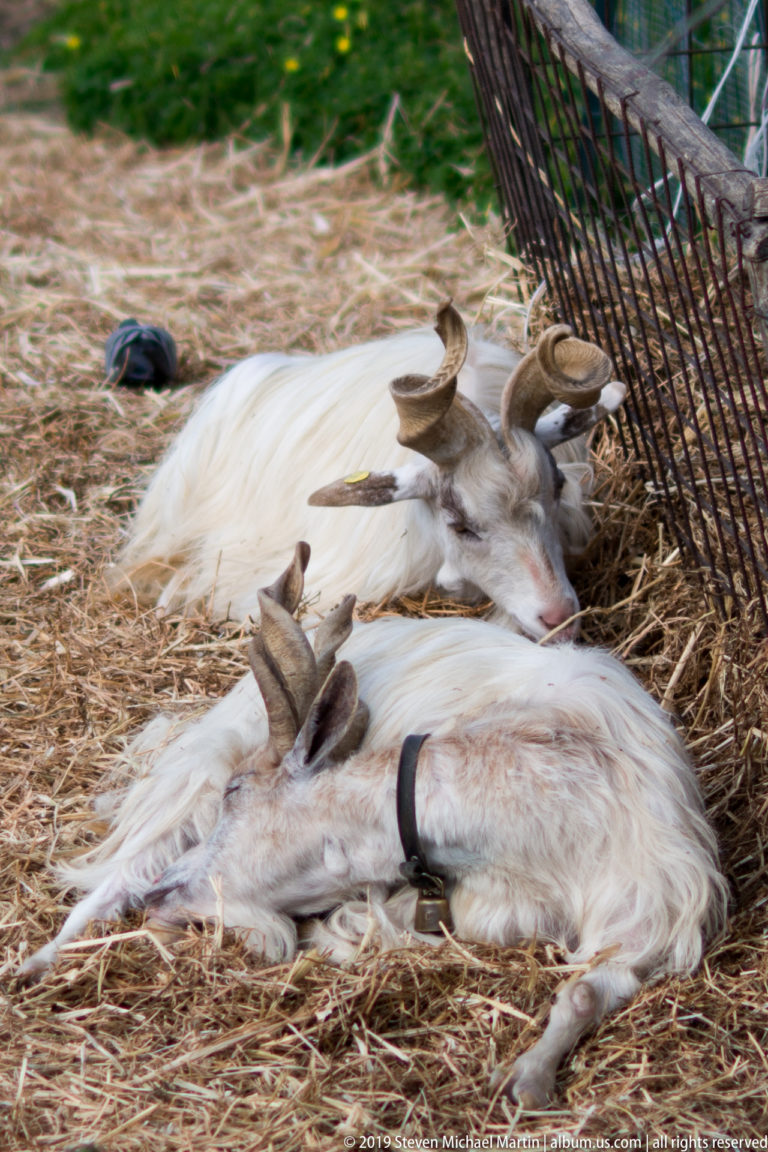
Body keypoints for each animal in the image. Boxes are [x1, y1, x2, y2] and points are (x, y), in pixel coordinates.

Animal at [23, 544, 726, 1108]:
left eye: (239, 793)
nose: (168, 890)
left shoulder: (649, 910)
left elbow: (588, 990)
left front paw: (527, 1080)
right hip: (196, 769)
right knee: (116, 874)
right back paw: (39, 962)